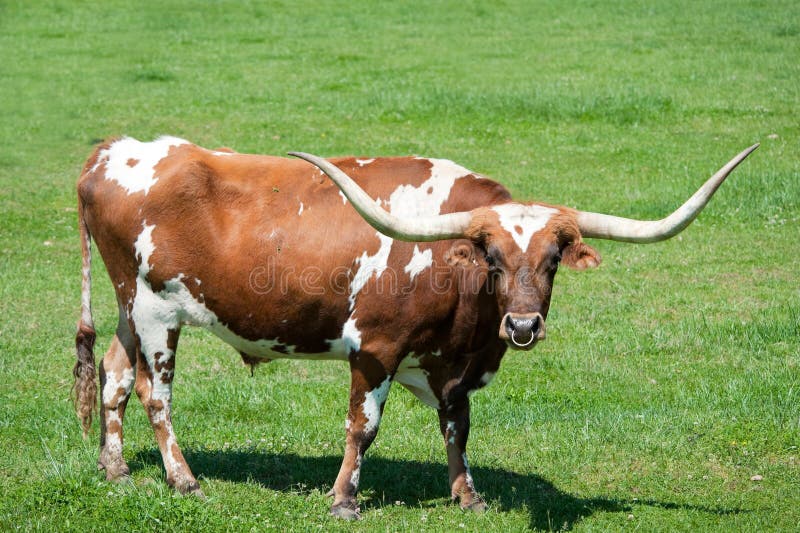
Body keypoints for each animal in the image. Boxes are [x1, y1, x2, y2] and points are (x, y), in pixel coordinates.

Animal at [73, 135, 756, 516]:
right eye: (492, 257)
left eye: (554, 260)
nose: (523, 325)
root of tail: (113, 152)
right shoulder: (375, 347)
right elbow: (363, 428)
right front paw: (344, 499)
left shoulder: (451, 363)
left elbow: (458, 426)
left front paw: (466, 495)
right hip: (157, 312)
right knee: (155, 394)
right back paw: (183, 480)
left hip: (128, 306)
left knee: (113, 376)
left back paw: (114, 468)